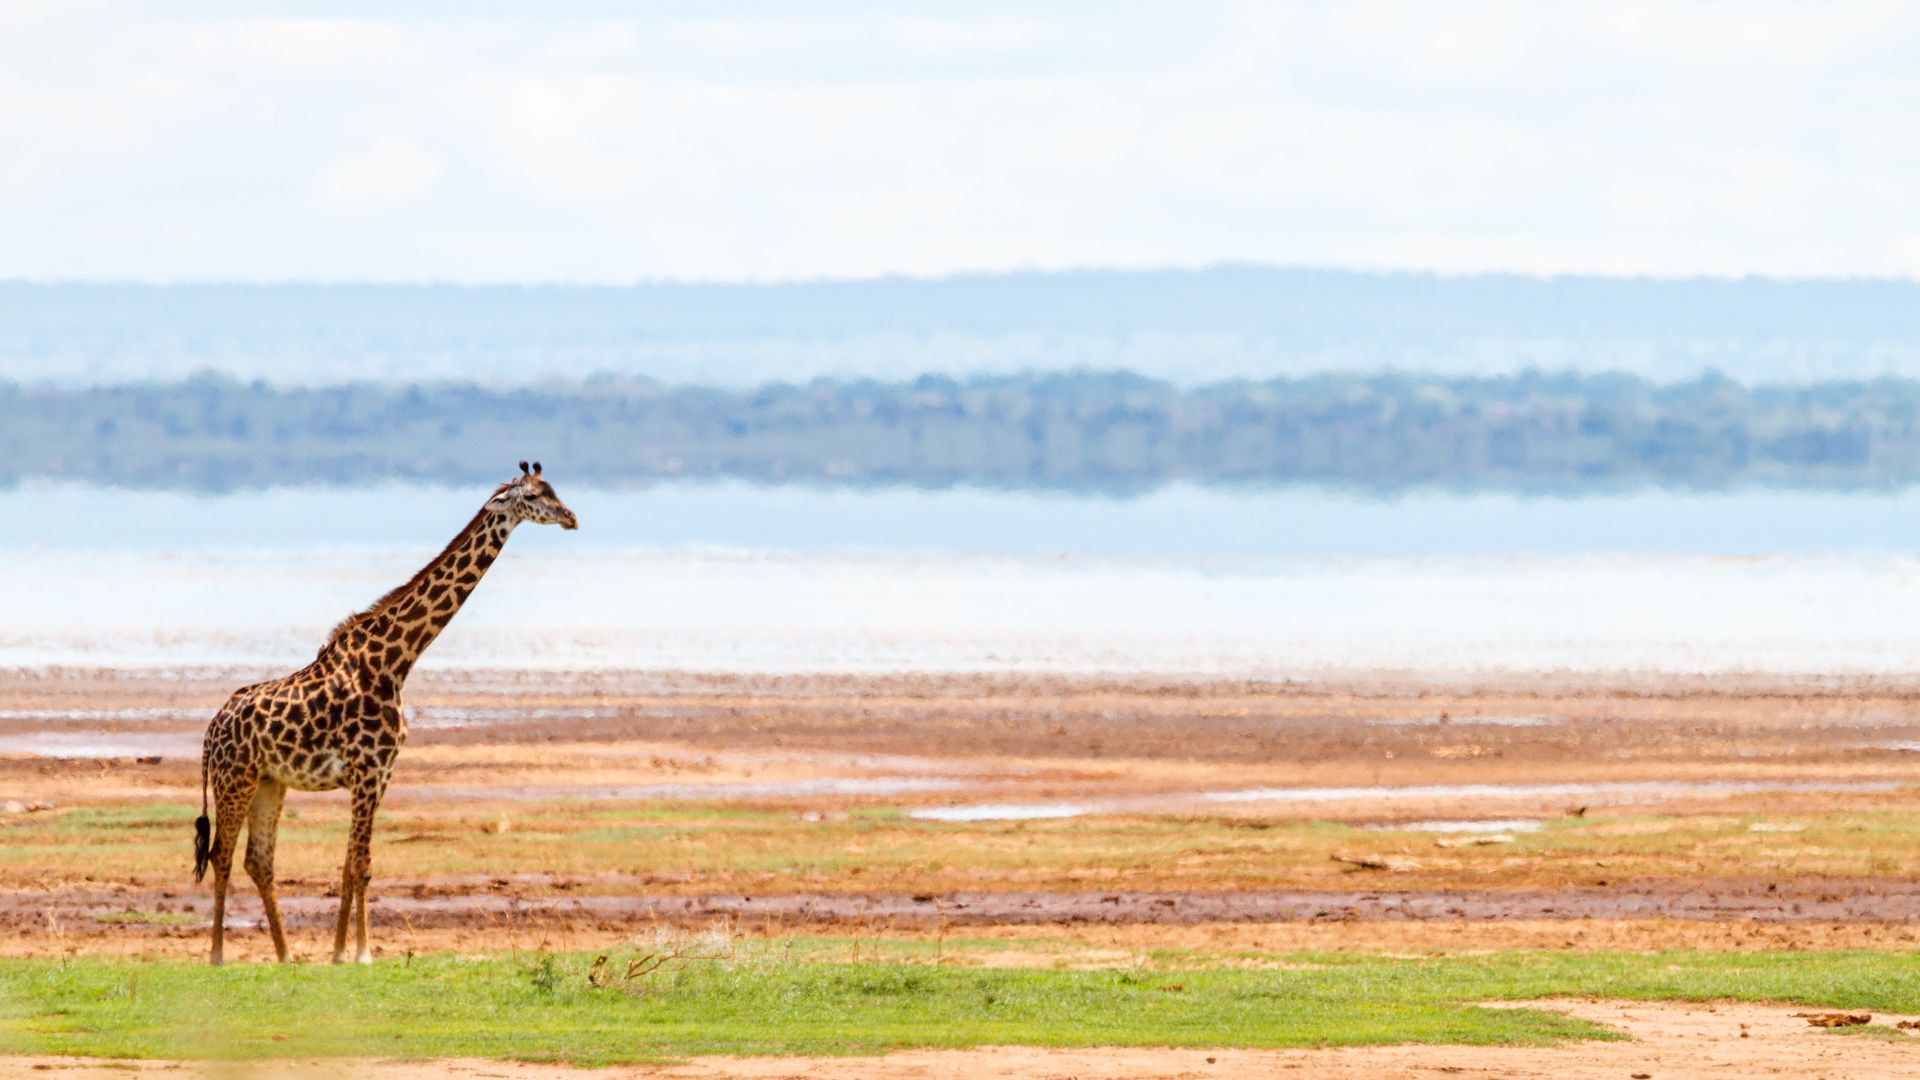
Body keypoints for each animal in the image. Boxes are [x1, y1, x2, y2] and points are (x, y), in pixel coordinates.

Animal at [192, 461, 578, 965]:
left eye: (554, 490)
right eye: (533, 496)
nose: (572, 518)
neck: (396, 661)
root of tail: (211, 729)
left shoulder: (382, 774)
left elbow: (357, 865)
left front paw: (344, 952)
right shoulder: (366, 770)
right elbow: (359, 863)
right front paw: (357, 953)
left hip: (269, 782)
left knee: (258, 861)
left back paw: (286, 954)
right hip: (233, 779)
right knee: (221, 855)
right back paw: (218, 955)